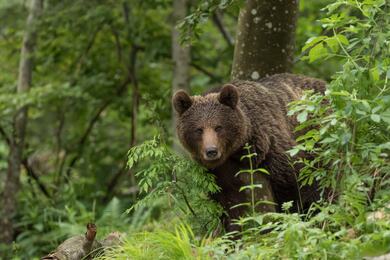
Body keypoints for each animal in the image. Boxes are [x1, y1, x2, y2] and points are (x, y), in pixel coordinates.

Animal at [173, 72, 326, 232]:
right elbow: (229, 205)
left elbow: (295, 185)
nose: (211, 151)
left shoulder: (275, 149)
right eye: (199, 129)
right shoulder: (218, 175)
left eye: (218, 127)